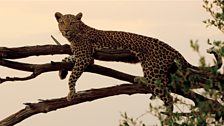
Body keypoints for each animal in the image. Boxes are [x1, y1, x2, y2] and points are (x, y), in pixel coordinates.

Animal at [55, 11, 199, 112]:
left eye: (72, 23)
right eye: (62, 22)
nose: (66, 30)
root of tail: (171, 48)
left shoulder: (85, 57)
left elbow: (73, 76)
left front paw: (71, 93)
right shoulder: (83, 56)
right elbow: (67, 58)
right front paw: (62, 72)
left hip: (153, 72)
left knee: (169, 98)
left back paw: (168, 116)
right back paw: (140, 79)